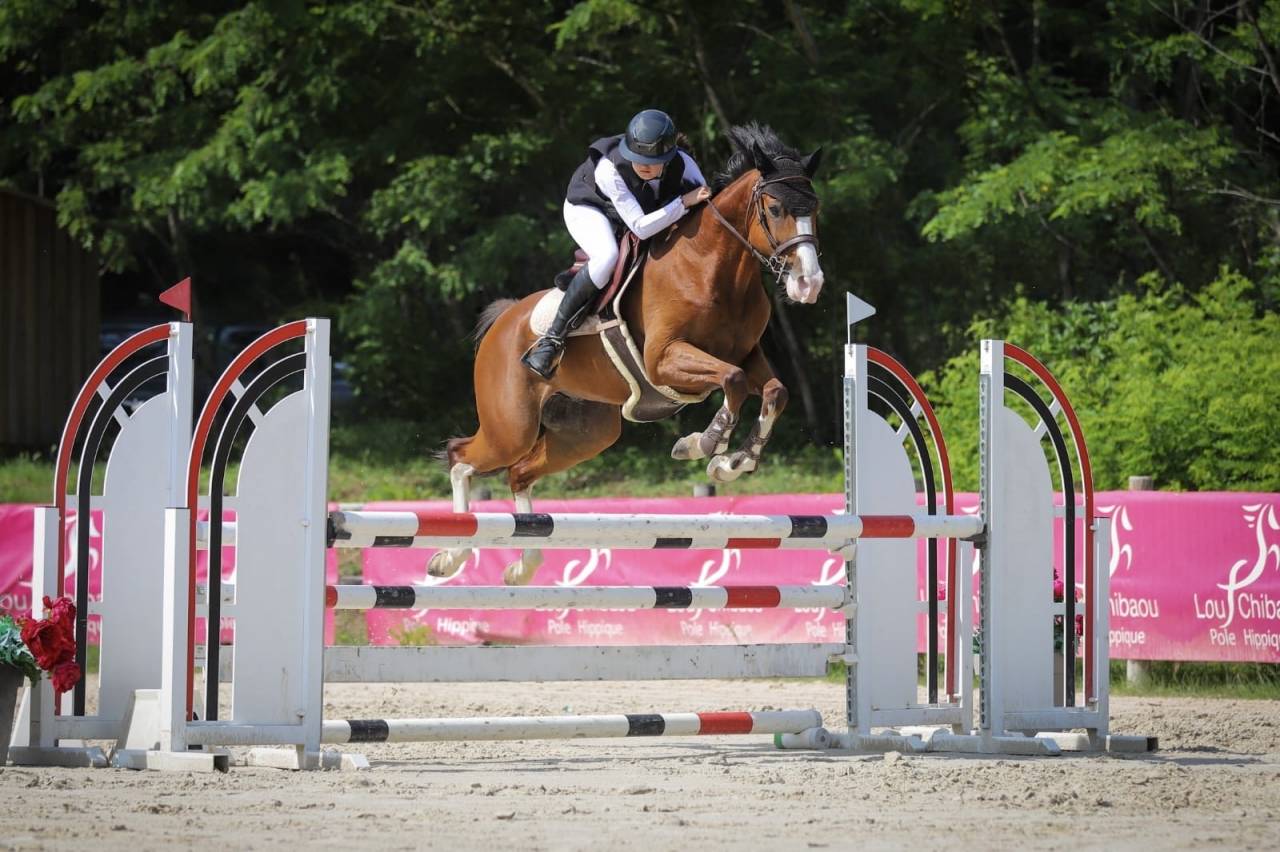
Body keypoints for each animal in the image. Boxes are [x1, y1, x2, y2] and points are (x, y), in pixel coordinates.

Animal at [432, 123, 826, 584]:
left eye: (815, 208)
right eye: (776, 208)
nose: (809, 284)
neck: (713, 269)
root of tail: (503, 320)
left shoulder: (747, 355)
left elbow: (774, 392)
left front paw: (734, 462)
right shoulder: (664, 360)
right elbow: (732, 379)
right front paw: (702, 443)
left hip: (585, 433)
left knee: (519, 473)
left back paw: (522, 566)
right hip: (512, 427)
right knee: (462, 458)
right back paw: (451, 556)